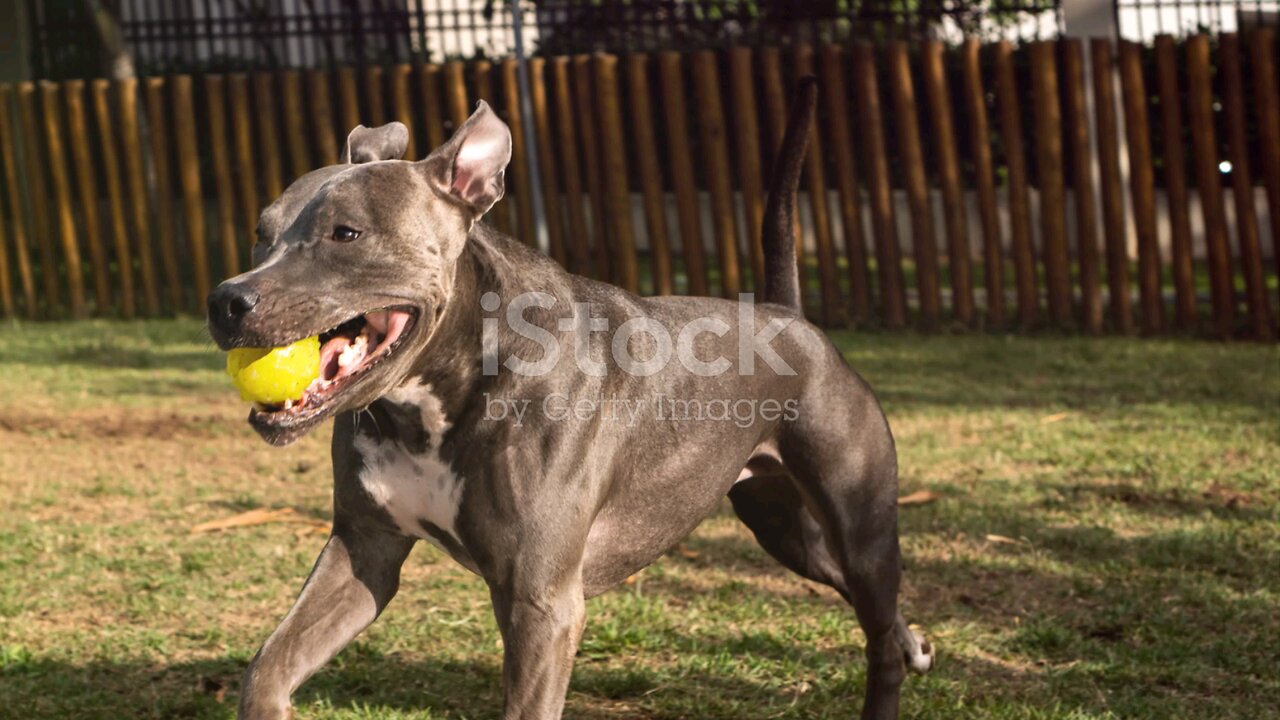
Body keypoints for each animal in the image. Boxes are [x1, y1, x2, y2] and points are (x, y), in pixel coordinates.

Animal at [207, 78, 931, 717]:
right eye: (261, 232)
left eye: (347, 233)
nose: (226, 300)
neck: (439, 399)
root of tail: (788, 316)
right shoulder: (364, 549)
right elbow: (268, 668)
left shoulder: (540, 604)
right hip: (785, 527)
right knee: (875, 608)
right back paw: (916, 642)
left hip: (860, 524)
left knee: (876, 629)